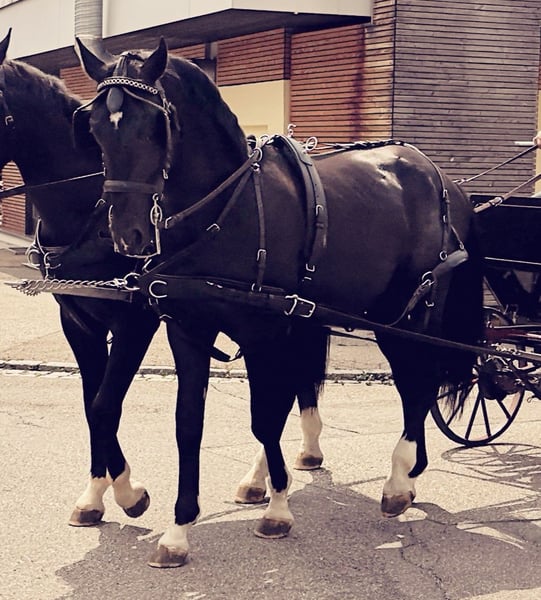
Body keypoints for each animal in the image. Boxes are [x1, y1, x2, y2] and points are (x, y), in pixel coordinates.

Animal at [0, 30, 327, 535]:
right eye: (92, 129)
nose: (128, 235)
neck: (88, 211)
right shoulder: (78, 323)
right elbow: (93, 404)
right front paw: (96, 494)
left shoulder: (136, 322)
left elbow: (105, 404)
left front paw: (129, 494)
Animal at [75, 37, 484, 568]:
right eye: (94, 128)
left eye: (153, 125)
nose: (128, 234)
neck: (225, 209)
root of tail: (445, 180)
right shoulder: (189, 327)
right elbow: (190, 423)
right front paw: (180, 529)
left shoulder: (263, 330)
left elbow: (264, 416)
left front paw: (278, 509)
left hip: (409, 315)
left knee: (416, 384)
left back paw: (400, 478)